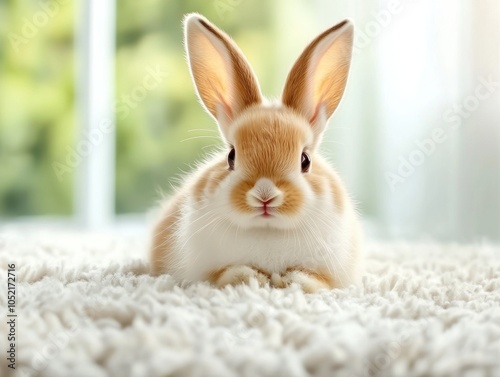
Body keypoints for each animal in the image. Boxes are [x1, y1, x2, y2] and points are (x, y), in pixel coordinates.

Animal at [148, 13, 364, 292]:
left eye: (305, 160)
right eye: (231, 157)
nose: (265, 195)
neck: (267, 229)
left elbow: (314, 279)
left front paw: (290, 280)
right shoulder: (206, 270)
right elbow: (225, 274)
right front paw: (253, 278)